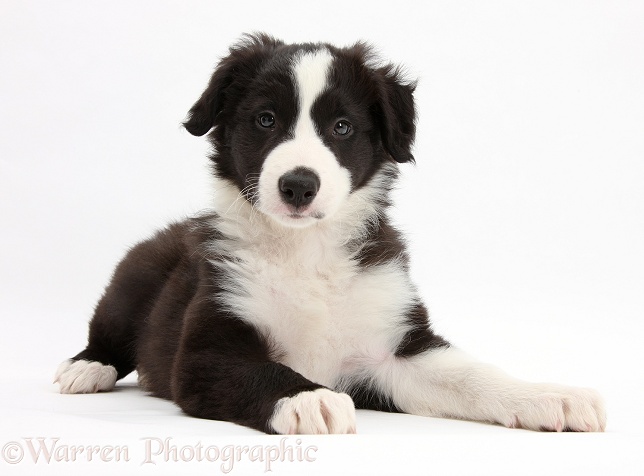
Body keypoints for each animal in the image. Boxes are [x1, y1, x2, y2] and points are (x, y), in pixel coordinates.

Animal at [54, 33, 604, 436]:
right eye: (265, 119)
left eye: (341, 127)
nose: (298, 184)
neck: (306, 251)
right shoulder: (207, 348)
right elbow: (262, 370)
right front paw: (310, 397)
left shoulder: (393, 350)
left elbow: (473, 375)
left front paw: (549, 395)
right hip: (131, 280)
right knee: (107, 332)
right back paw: (86, 368)